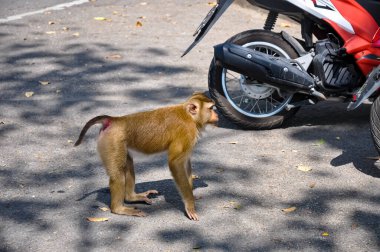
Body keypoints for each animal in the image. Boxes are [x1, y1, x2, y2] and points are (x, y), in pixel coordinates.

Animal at [74, 92, 218, 220]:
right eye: (211, 108)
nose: (217, 115)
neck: (190, 117)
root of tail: (114, 120)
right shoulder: (186, 132)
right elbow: (175, 163)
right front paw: (190, 206)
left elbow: (186, 163)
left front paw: (192, 195)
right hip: (112, 142)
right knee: (118, 174)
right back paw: (119, 209)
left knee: (128, 163)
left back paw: (131, 197)